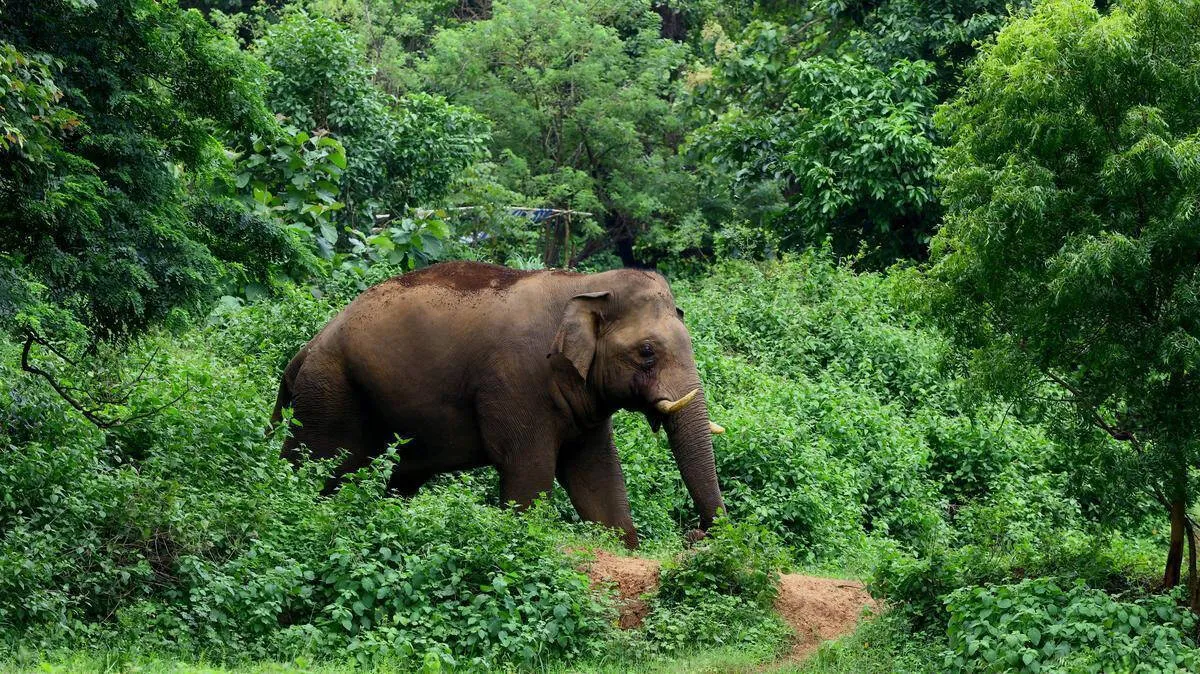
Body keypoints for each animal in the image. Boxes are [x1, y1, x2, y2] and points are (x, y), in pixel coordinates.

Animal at [270, 261, 725, 548]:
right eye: (647, 352)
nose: (695, 535)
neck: (587, 283)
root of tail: (304, 351)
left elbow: (597, 474)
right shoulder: (517, 382)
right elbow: (530, 471)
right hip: (331, 394)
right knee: (317, 466)